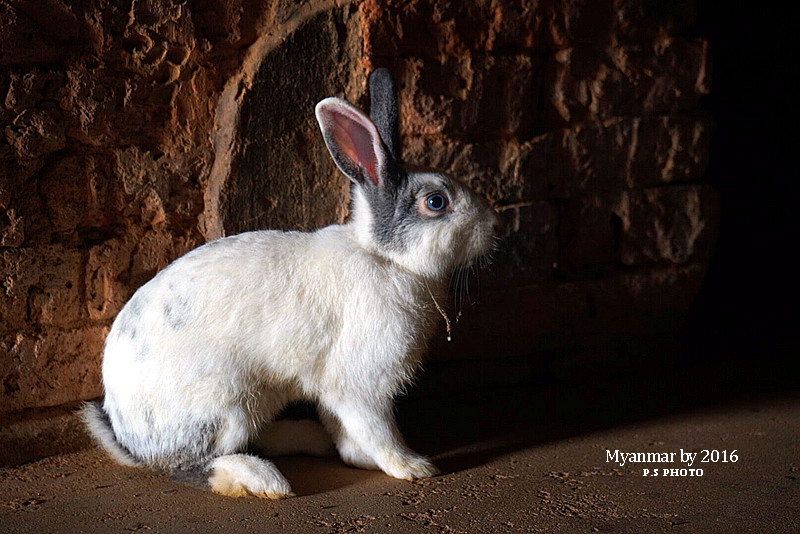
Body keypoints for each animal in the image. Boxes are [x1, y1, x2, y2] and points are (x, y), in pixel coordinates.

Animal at [78, 69, 496, 500]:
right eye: (436, 202)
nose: (494, 226)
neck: (386, 258)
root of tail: (128, 436)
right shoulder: (361, 387)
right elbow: (377, 430)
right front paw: (412, 466)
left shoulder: (335, 389)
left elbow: (345, 431)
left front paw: (357, 459)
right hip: (225, 406)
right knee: (188, 465)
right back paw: (261, 480)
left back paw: (308, 440)